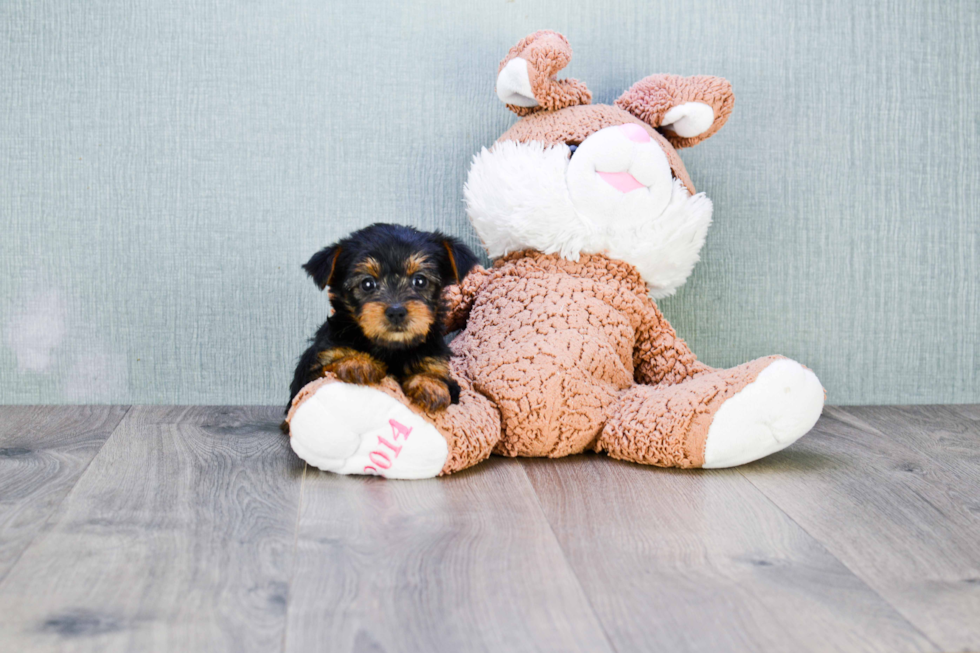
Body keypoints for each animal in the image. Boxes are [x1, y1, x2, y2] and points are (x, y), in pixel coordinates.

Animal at [284, 222, 478, 420]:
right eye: (367, 284)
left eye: (420, 281)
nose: (396, 311)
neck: (390, 348)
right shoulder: (314, 370)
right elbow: (329, 367)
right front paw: (358, 363)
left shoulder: (437, 363)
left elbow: (439, 377)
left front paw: (430, 384)